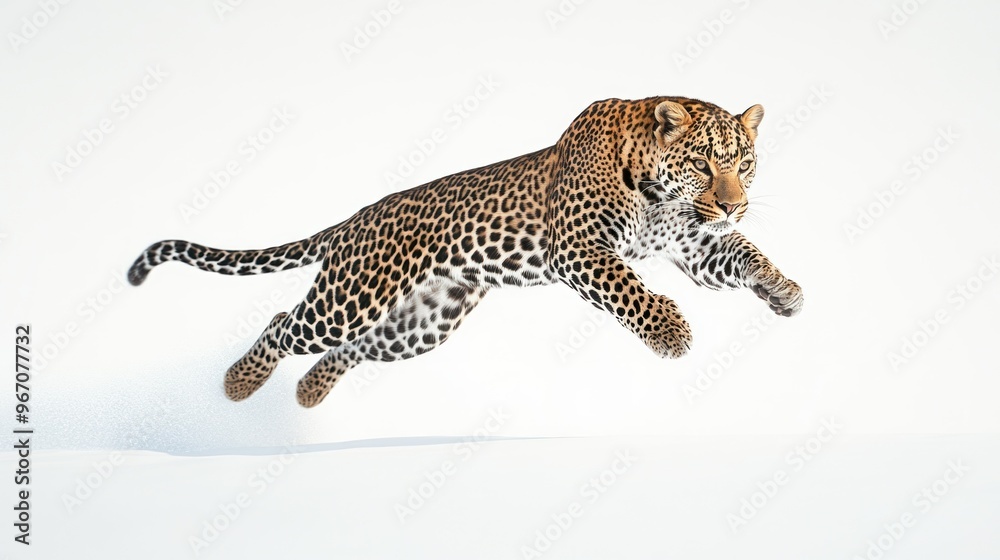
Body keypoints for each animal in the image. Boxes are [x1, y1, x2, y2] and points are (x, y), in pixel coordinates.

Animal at [128, 96, 803, 408]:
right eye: (704, 163)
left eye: (744, 163)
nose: (735, 203)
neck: (660, 190)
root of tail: (354, 220)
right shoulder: (579, 248)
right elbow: (627, 289)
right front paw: (669, 333)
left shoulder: (693, 242)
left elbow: (742, 257)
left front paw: (783, 289)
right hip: (351, 297)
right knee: (282, 322)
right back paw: (237, 384)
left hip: (421, 323)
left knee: (351, 349)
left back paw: (307, 394)